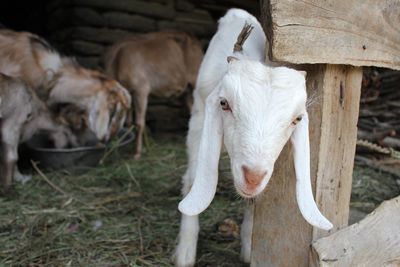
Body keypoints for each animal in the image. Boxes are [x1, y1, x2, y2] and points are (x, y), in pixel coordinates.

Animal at [104, 30, 203, 159]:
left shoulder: (141, 90)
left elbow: (139, 123)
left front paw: (138, 153)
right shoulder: (129, 94)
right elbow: (129, 122)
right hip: (187, 90)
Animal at [173, 8, 332, 267]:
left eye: (297, 119)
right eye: (224, 104)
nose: (253, 177)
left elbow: (254, 200)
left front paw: (249, 246)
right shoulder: (199, 121)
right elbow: (194, 177)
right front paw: (185, 251)